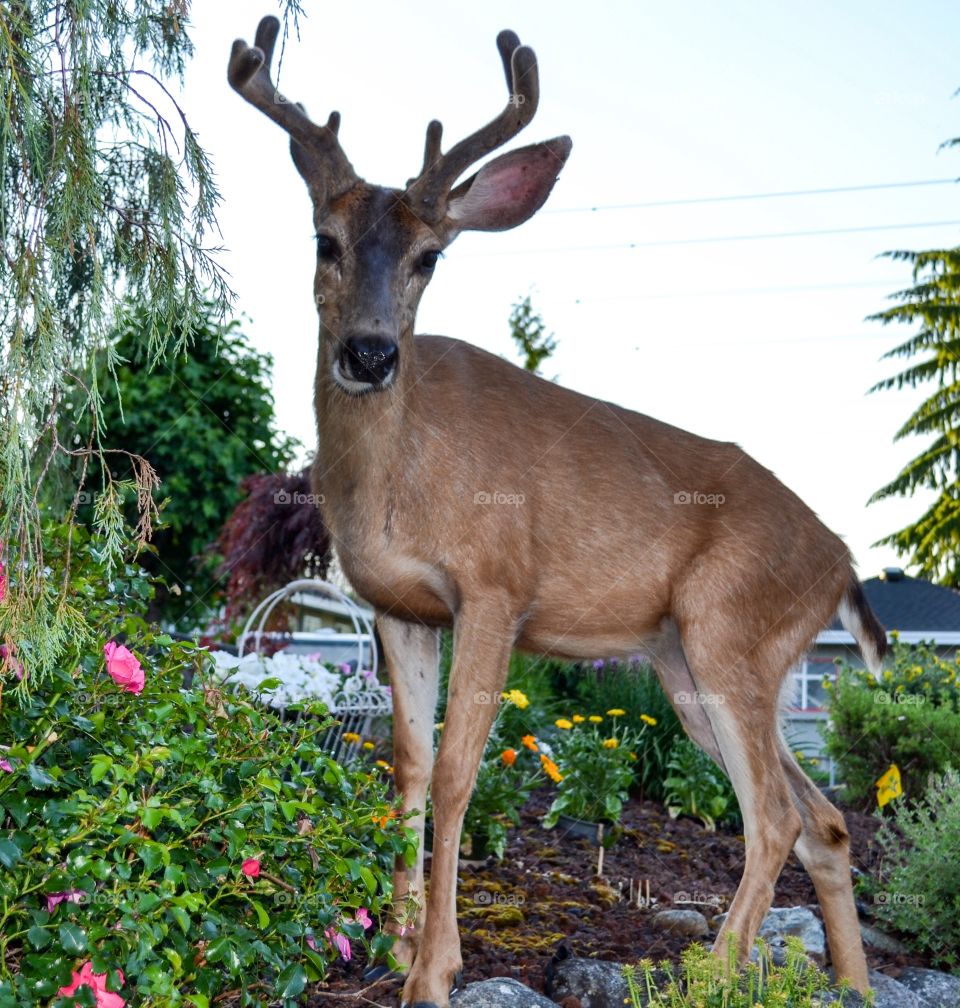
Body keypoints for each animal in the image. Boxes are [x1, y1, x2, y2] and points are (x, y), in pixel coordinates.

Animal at [226, 17, 883, 1008]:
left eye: (430, 256)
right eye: (322, 240)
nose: (370, 354)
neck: (396, 477)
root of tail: (842, 559)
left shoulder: (495, 587)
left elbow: (456, 773)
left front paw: (434, 967)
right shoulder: (397, 607)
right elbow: (406, 766)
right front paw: (389, 943)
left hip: (729, 628)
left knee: (772, 813)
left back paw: (710, 970)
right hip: (691, 661)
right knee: (824, 818)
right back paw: (849, 984)